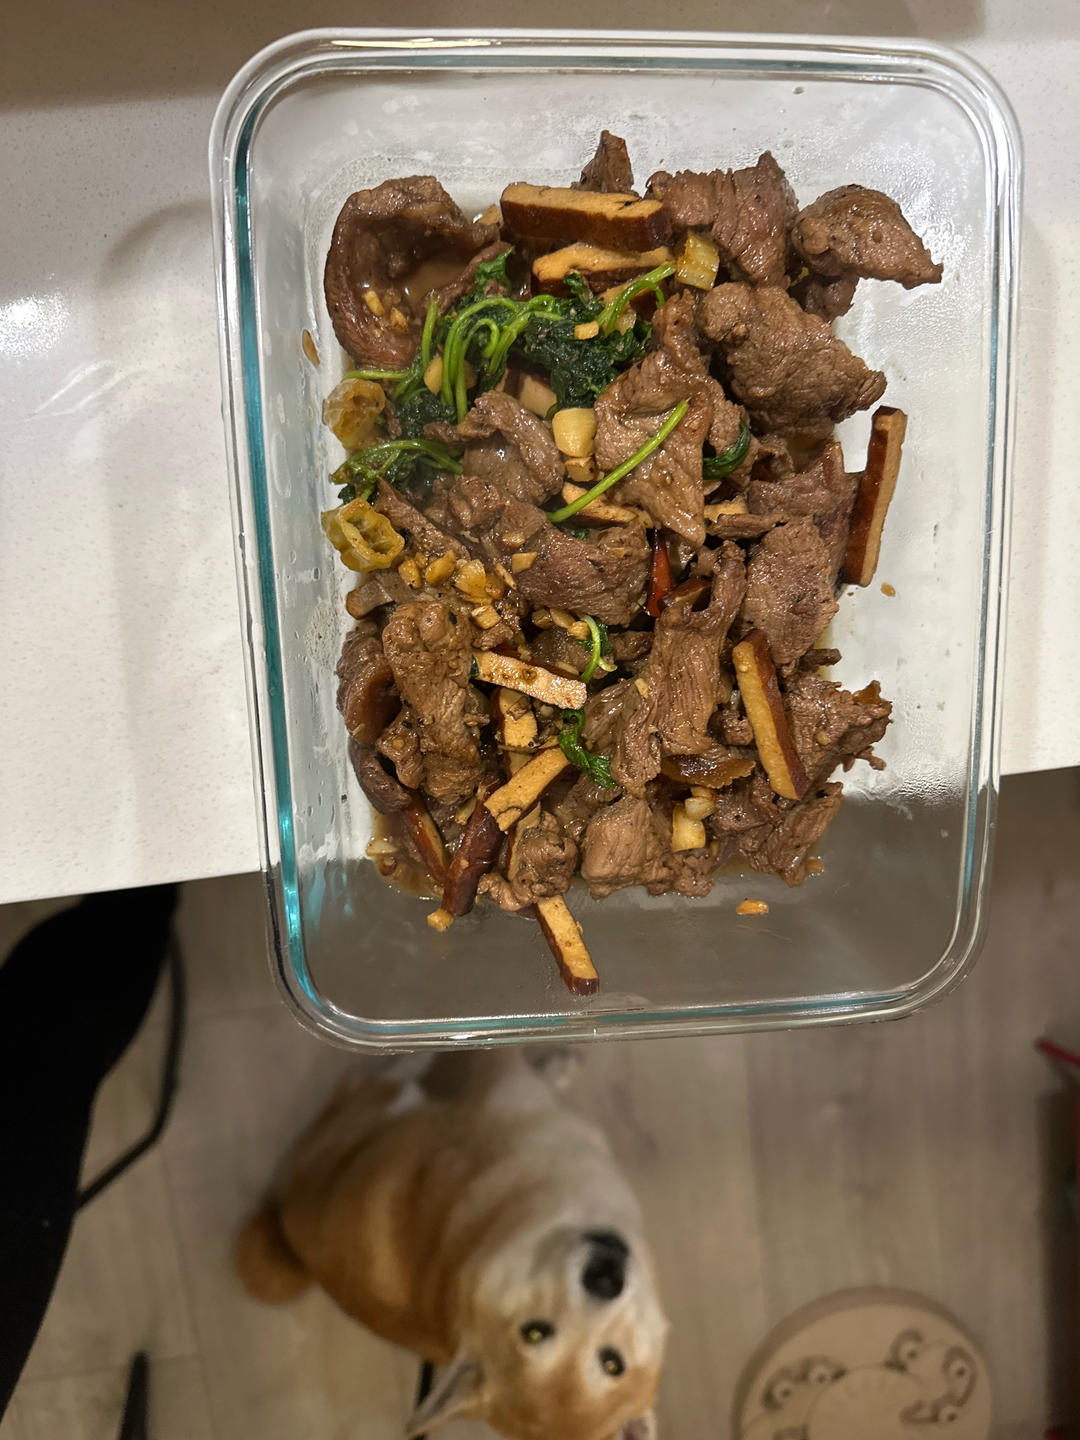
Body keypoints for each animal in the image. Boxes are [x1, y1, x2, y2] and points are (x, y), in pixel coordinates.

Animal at [236, 1050, 667, 1440]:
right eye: (534, 1333)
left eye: (612, 1363)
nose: (607, 1277)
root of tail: (284, 1213)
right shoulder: (499, 1085)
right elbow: (504, 1051)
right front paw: (553, 1063)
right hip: (383, 1103)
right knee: (365, 1080)